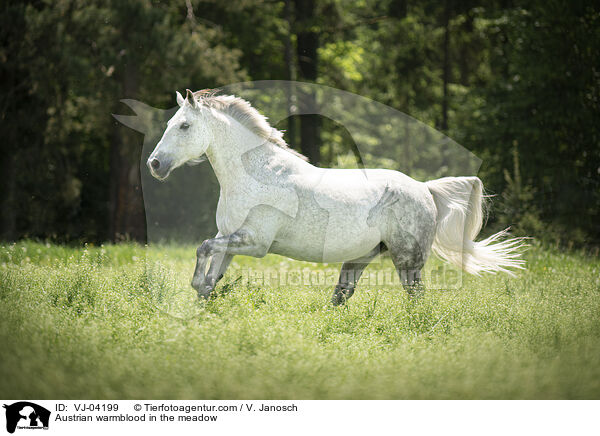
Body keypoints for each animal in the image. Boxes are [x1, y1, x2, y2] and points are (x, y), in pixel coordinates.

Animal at [149, 90, 524, 304]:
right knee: (342, 296)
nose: (155, 164)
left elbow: (203, 249)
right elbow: (212, 273)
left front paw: (195, 287)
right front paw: (201, 303)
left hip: (407, 260)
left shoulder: (254, 243)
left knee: (415, 297)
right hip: (359, 258)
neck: (256, 173)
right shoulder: (230, 239)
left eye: (184, 126)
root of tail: (424, 188)